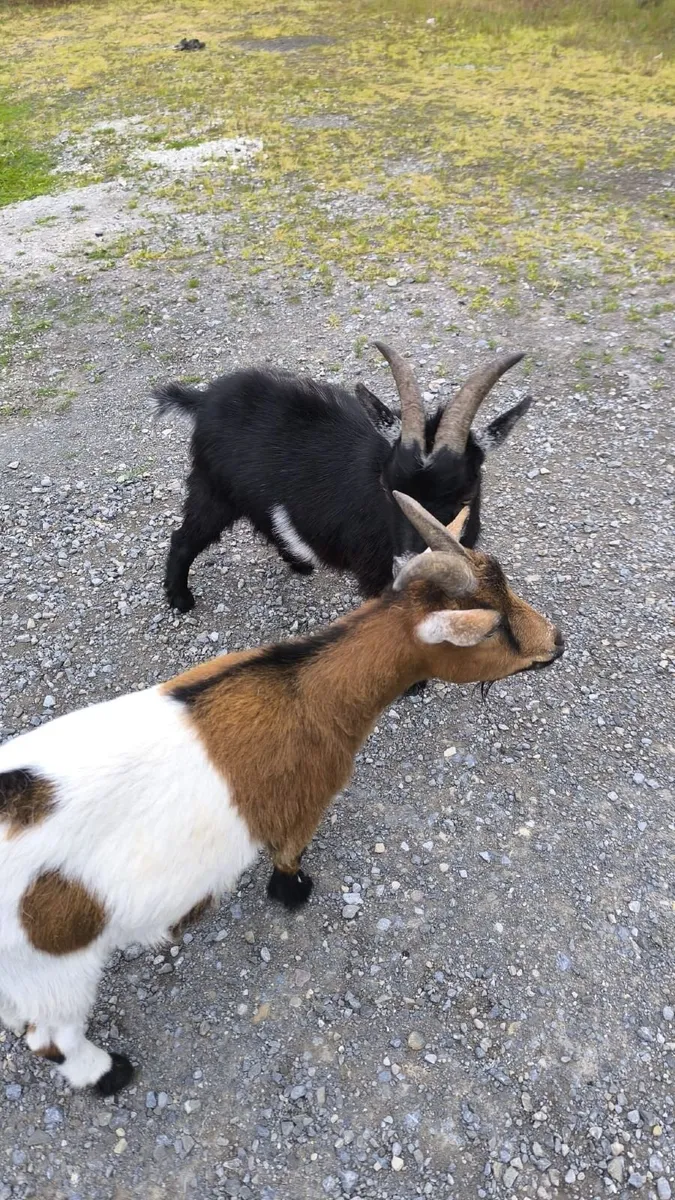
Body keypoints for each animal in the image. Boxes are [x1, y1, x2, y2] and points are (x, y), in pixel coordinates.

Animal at [0, 493, 564, 1094]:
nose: (556, 642)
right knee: (50, 1037)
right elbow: (290, 854)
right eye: (496, 629)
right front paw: (294, 891)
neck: (307, 691)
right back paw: (110, 1073)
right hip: (57, 965)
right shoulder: (306, 801)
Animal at [154, 343, 532, 612]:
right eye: (386, 488)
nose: (409, 569)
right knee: (184, 537)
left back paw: (298, 563)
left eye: (465, 496)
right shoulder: (376, 571)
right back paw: (180, 600)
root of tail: (203, 399)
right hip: (213, 488)